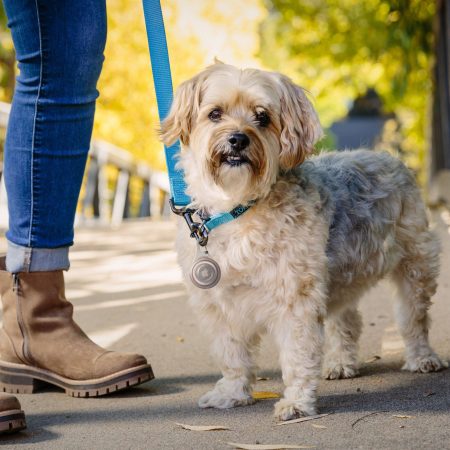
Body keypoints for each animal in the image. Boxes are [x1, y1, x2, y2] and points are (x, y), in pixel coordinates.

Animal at [160, 61, 444, 420]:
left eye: (262, 116)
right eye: (215, 114)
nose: (237, 139)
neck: (239, 208)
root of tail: (388, 157)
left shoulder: (295, 297)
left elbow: (297, 353)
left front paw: (296, 401)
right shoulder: (221, 304)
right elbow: (232, 353)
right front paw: (233, 392)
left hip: (414, 267)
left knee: (414, 318)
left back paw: (422, 357)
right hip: (340, 276)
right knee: (348, 319)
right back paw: (341, 361)